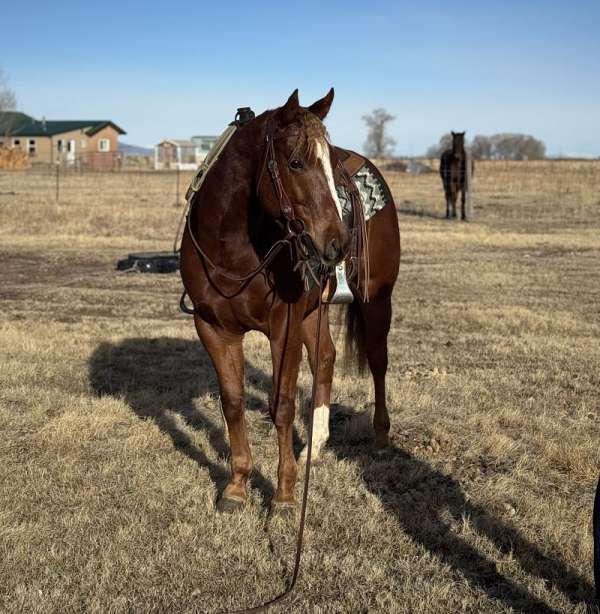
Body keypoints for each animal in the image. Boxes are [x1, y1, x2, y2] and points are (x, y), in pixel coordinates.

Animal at [180, 89, 400, 516]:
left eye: (329, 166)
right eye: (296, 162)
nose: (338, 242)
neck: (232, 248)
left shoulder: (284, 327)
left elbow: (281, 405)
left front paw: (283, 495)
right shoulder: (213, 327)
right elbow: (233, 402)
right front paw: (237, 485)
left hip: (376, 299)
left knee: (377, 361)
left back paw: (381, 436)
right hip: (315, 312)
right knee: (326, 359)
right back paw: (313, 449)